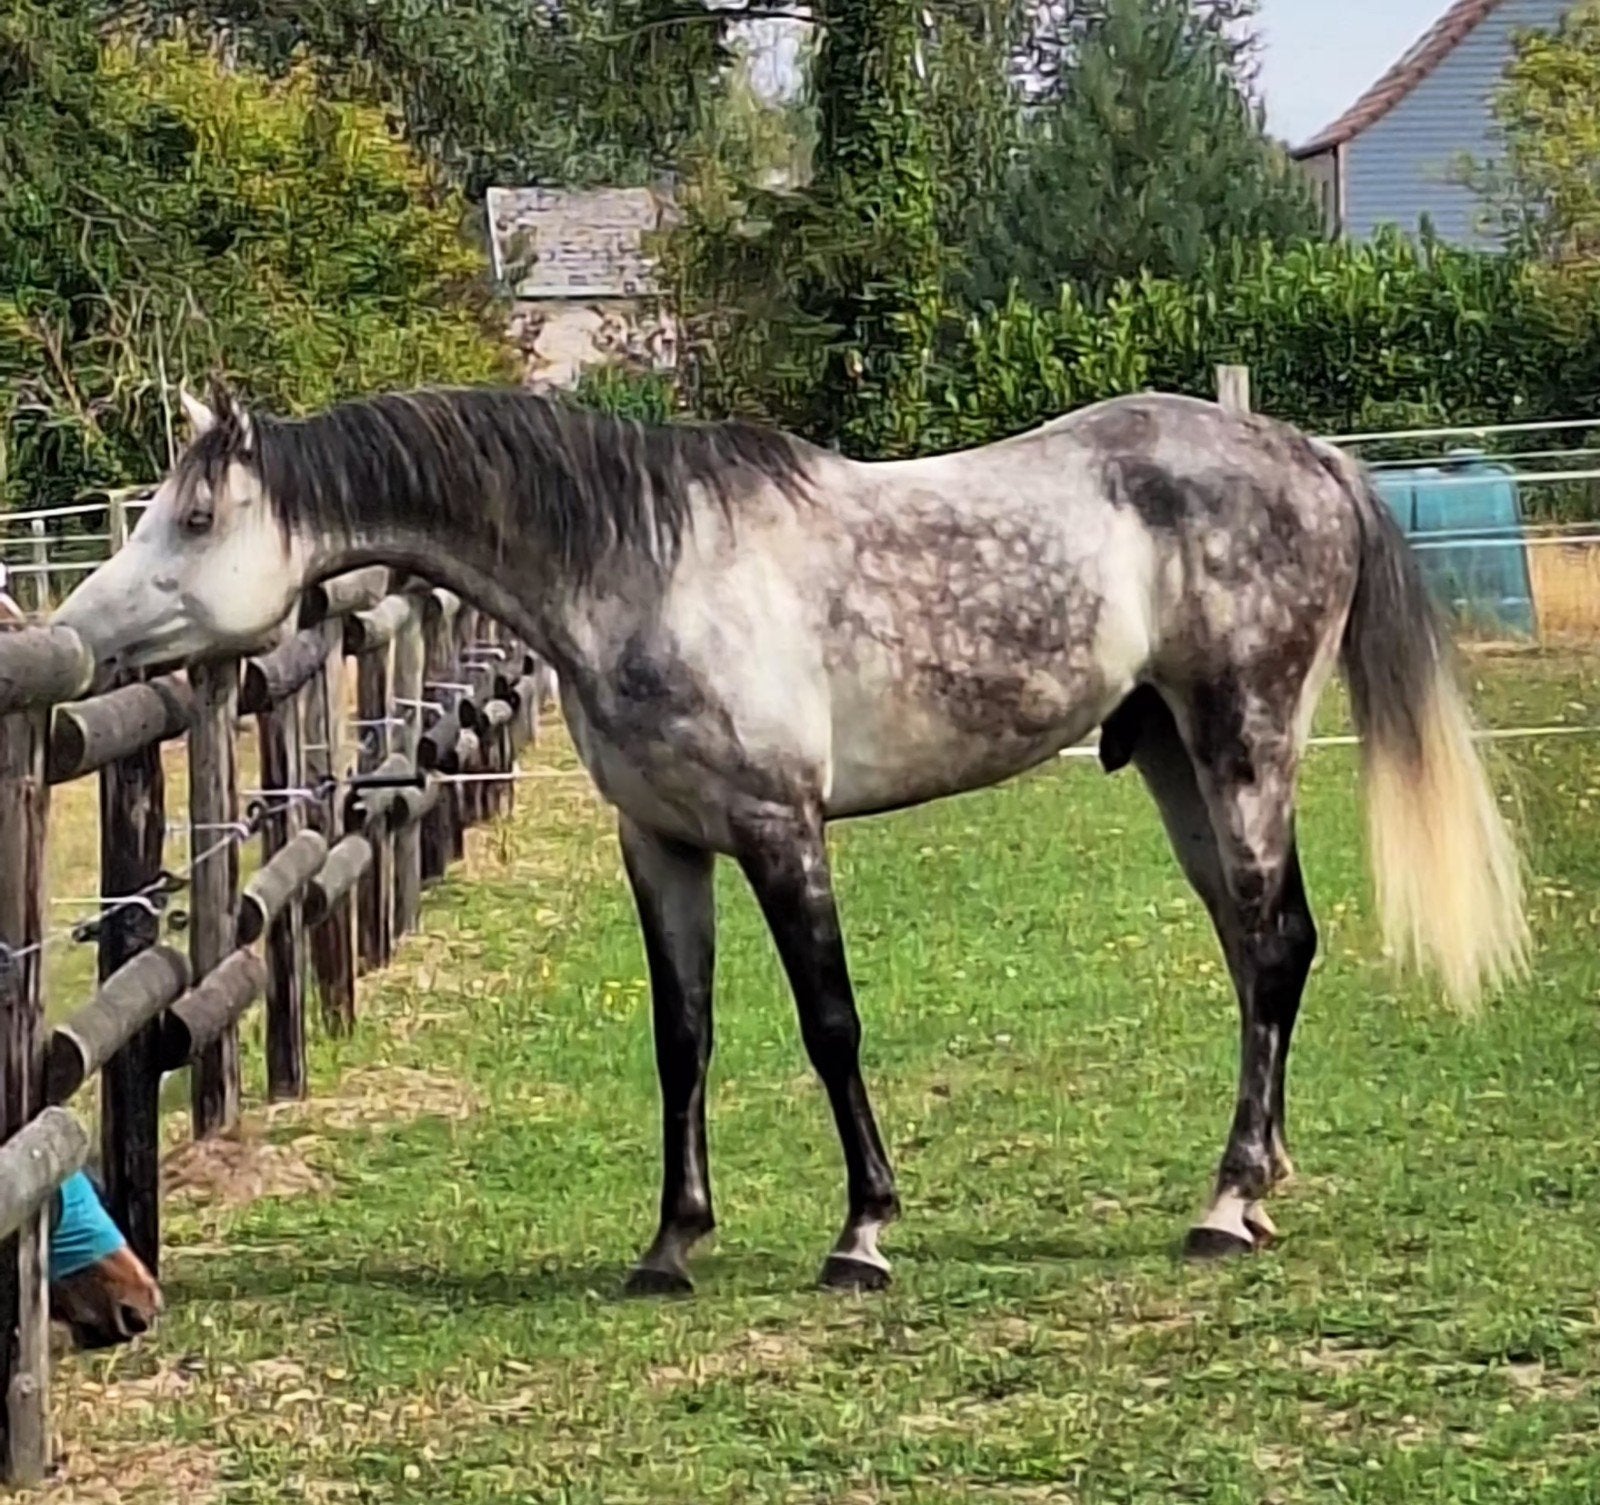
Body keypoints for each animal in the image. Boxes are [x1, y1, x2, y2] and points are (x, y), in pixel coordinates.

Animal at [52, 380, 1528, 1292]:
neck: (640, 566)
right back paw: (1257, 1176)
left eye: (195, 514)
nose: (75, 636)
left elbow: (829, 1022)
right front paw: (670, 1243)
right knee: (1254, 950)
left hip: (1244, 746)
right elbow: (683, 1037)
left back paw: (1224, 1205)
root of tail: (1315, 462)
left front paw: (863, 1232)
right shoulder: (662, 842)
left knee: (1273, 947)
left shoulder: (780, 826)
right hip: (1173, 759)